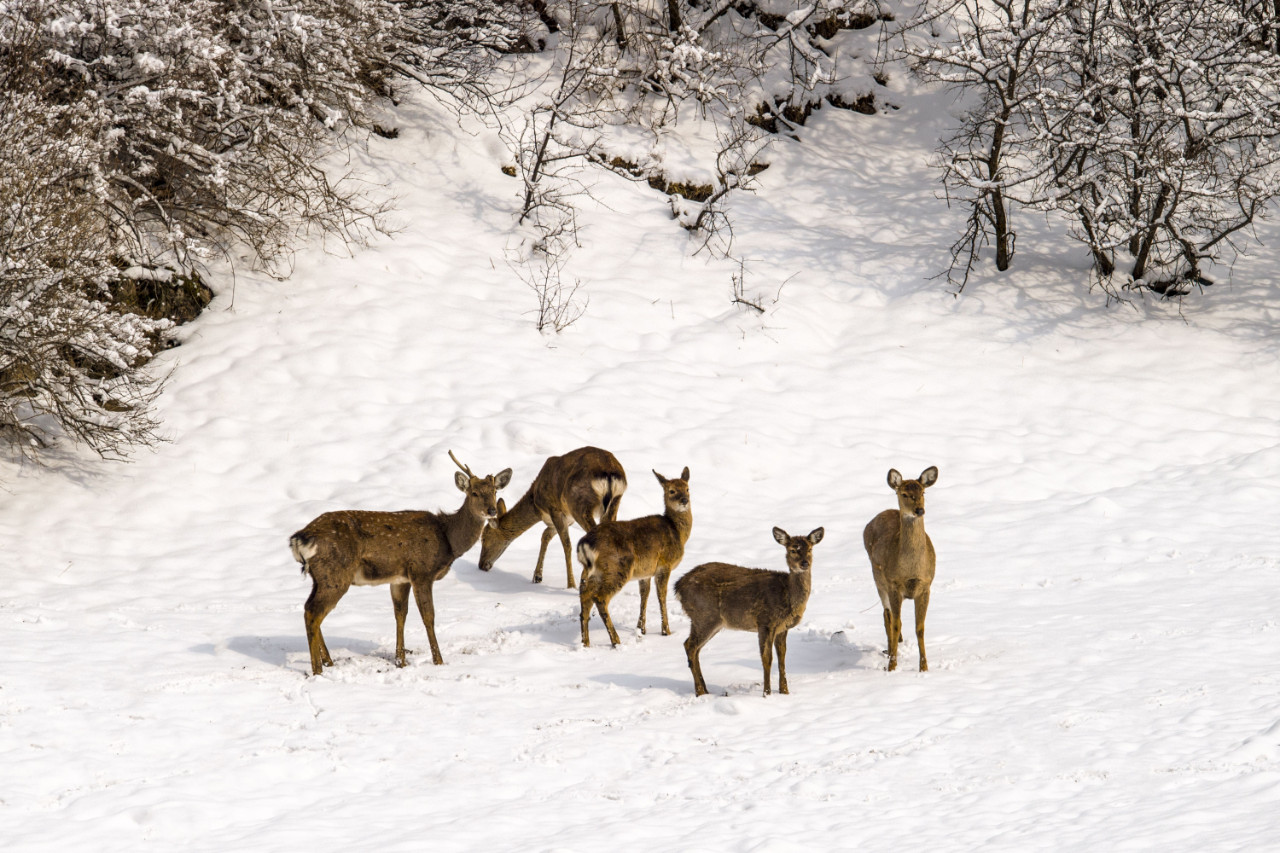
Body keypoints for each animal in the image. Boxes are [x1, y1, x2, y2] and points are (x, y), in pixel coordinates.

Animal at [288, 448, 512, 676]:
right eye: (474, 493)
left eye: (494, 491)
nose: (492, 510)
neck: (447, 539)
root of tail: (300, 538)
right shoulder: (422, 572)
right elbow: (428, 616)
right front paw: (439, 661)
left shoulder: (400, 579)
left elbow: (400, 614)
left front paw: (400, 661)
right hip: (336, 574)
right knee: (313, 612)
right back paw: (318, 670)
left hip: (320, 577)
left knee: (309, 608)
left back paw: (328, 662)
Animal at [478, 440, 627, 589]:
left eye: (484, 537)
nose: (481, 565)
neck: (536, 504)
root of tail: (610, 474)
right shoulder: (566, 519)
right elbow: (545, 536)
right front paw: (537, 576)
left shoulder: (554, 509)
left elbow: (566, 545)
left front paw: (571, 585)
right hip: (614, 504)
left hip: (580, 505)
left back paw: (585, 582)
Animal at [576, 466, 691, 645]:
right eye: (672, 491)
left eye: (687, 488)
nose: (684, 500)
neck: (677, 532)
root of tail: (585, 544)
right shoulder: (664, 564)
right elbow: (662, 596)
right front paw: (666, 631)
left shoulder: (645, 572)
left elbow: (644, 595)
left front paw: (641, 629)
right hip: (618, 567)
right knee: (599, 598)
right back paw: (615, 640)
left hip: (592, 571)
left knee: (585, 596)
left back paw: (585, 642)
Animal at [675, 525, 824, 696]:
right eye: (793, 549)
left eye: (810, 549)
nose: (805, 563)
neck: (787, 595)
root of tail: (678, 586)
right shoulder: (765, 621)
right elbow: (767, 659)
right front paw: (767, 694)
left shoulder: (782, 628)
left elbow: (782, 659)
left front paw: (785, 692)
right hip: (704, 616)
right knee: (690, 646)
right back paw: (700, 692)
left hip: (709, 622)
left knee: (694, 648)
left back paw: (704, 690)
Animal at [860, 466, 942, 671]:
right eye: (904, 493)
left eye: (923, 492)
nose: (919, 510)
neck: (911, 569)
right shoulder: (894, 585)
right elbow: (895, 624)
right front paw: (892, 667)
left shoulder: (926, 585)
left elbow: (920, 628)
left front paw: (924, 667)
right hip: (879, 580)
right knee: (887, 615)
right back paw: (890, 650)